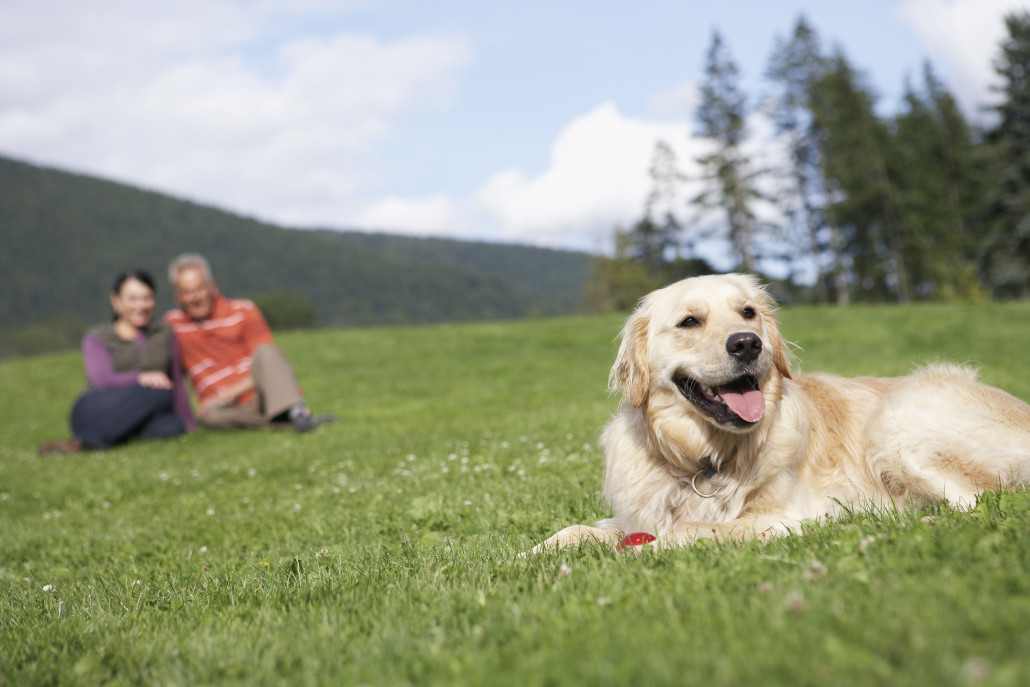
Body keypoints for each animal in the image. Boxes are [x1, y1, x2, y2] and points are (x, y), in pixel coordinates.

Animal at [531, 273, 1030, 552]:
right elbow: (573, 531)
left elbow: (685, 530)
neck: (705, 460)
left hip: (896, 420)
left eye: (748, 312)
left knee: (976, 504)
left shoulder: (781, 516)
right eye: (689, 321)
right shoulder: (636, 515)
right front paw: (528, 557)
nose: (747, 343)